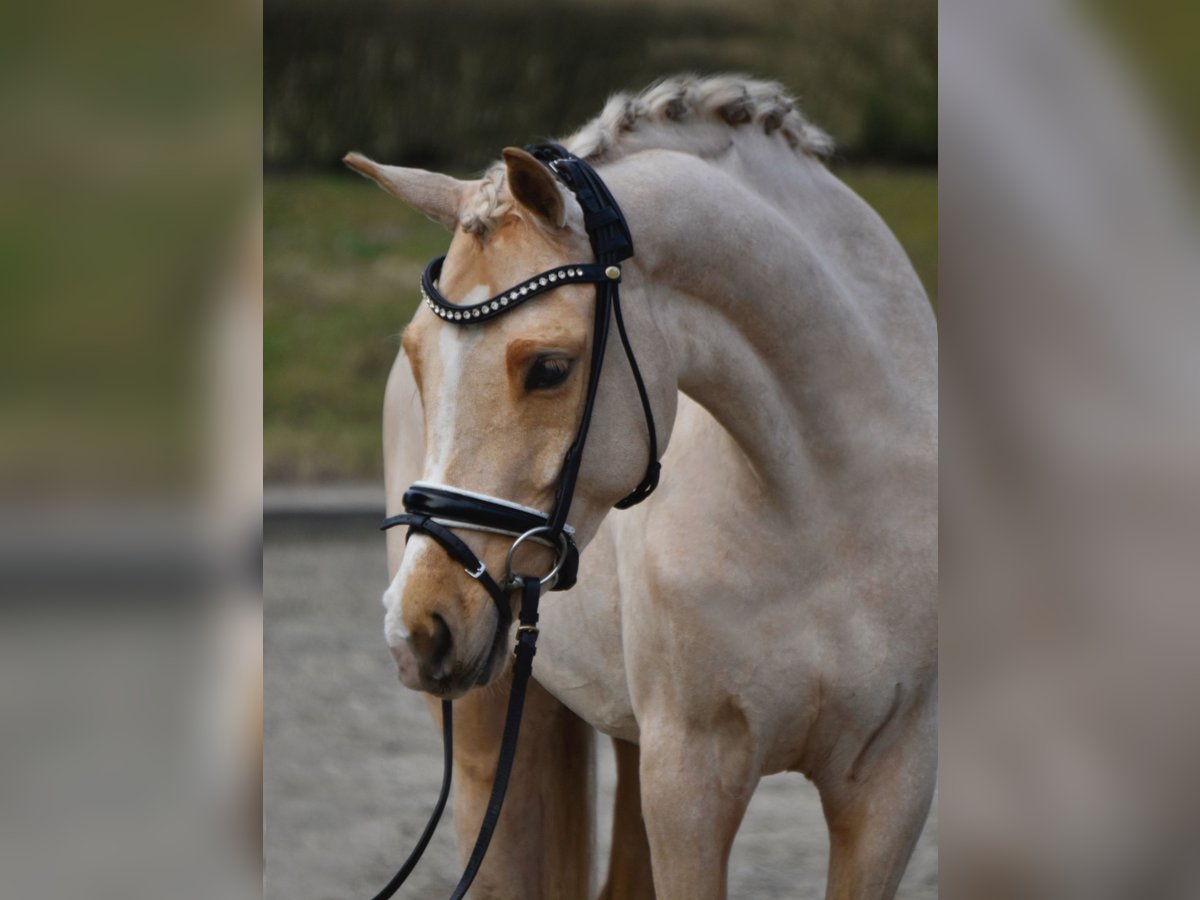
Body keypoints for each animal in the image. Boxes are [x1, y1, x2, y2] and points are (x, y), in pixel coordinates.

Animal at [348, 75, 936, 900]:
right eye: (418, 357)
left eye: (550, 368)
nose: (418, 627)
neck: (829, 506)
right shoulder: (688, 777)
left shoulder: (893, 784)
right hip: (489, 729)